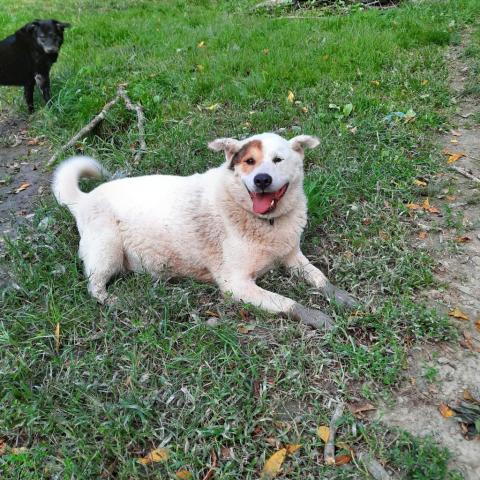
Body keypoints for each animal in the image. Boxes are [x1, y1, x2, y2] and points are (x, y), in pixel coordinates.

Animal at [54, 132, 358, 330]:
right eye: (249, 161)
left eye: (278, 160)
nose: (261, 179)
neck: (262, 221)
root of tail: (84, 199)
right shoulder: (236, 285)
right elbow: (287, 302)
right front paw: (318, 317)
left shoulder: (292, 255)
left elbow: (319, 277)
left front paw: (342, 297)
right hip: (108, 251)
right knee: (94, 286)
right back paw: (114, 301)